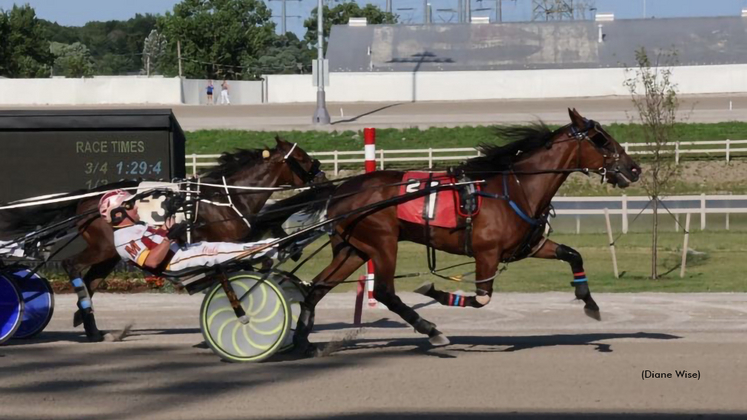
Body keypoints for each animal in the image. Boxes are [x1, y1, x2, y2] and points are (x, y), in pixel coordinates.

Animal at [2, 138, 324, 342]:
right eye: (301, 157)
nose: (320, 172)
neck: (226, 198)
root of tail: (89, 201)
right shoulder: (226, 243)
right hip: (103, 248)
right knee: (72, 265)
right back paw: (86, 320)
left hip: (109, 256)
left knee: (91, 280)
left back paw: (89, 324)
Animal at [280, 108, 644, 352]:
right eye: (601, 140)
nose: (634, 168)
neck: (517, 189)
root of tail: (341, 190)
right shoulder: (487, 253)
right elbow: (481, 298)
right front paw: (433, 291)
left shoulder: (530, 246)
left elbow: (573, 254)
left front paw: (589, 303)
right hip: (383, 242)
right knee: (384, 291)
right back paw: (430, 329)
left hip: (353, 248)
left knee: (316, 288)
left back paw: (302, 343)